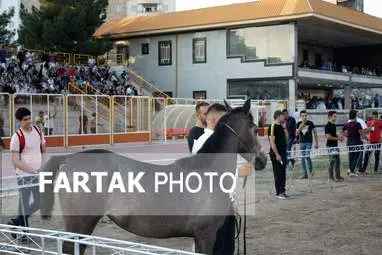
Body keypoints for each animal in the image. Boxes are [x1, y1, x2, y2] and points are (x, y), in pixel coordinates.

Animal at [38, 99, 266, 255]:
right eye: (255, 129)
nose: (262, 159)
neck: (208, 173)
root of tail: (69, 159)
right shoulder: (205, 234)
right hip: (80, 224)